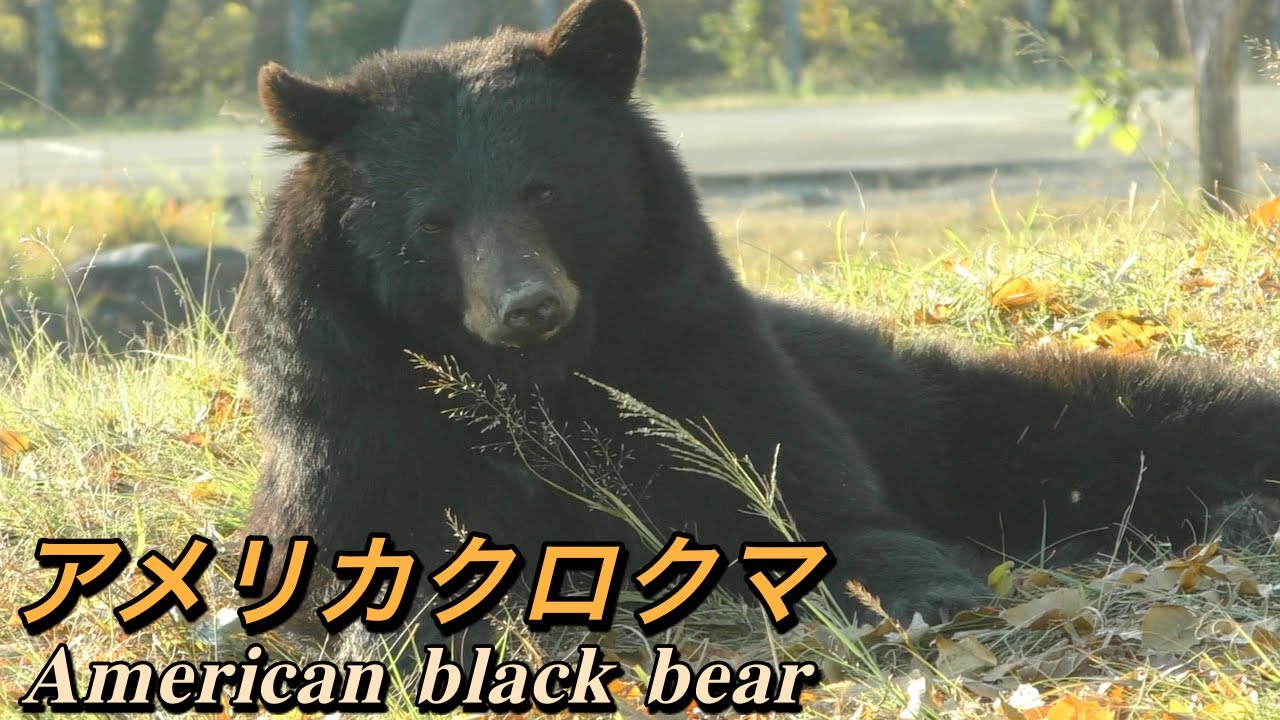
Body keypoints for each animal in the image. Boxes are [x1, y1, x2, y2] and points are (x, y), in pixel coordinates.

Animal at [235, 0, 1280, 670]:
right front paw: (397, 639)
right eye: (430, 225)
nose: (529, 306)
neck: (533, 383)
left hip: (934, 402)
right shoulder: (359, 411)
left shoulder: (692, 353)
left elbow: (802, 497)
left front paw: (928, 594)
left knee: (1116, 422)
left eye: (546, 190)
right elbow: (360, 545)